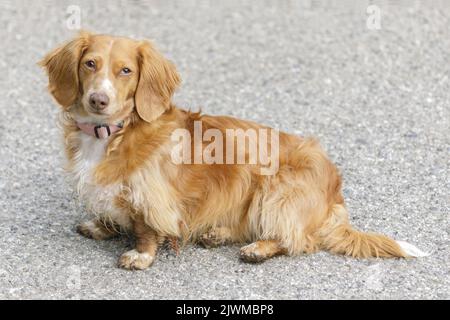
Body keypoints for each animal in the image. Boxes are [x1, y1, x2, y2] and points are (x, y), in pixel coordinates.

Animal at [40, 31, 428, 270]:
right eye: (90, 63)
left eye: (125, 70)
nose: (98, 99)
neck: (113, 132)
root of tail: (335, 193)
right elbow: (111, 213)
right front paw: (102, 226)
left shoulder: (152, 195)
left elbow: (145, 228)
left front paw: (140, 255)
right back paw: (218, 233)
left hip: (277, 189)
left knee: (297, 239)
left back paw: (258, 248)